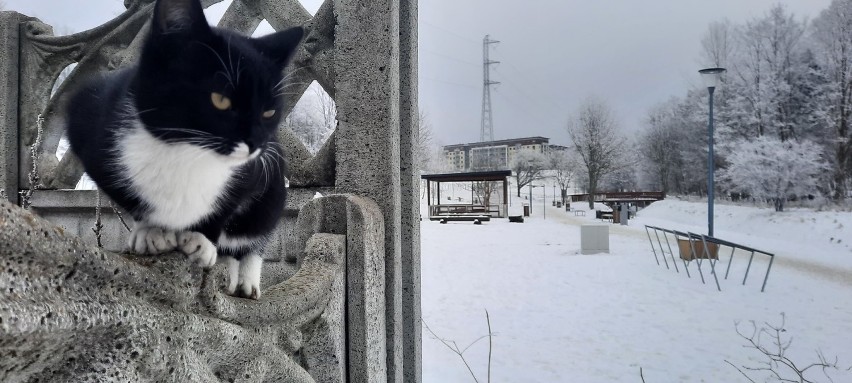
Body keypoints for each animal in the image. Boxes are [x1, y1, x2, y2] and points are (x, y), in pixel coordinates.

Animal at [65, 0, 302, 300]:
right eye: (220, 100)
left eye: (269, 112)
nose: (254, 144)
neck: (187, 152)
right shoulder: (89, 127)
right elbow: (130, 199)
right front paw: (150, 230)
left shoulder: (255, 171)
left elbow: (227, 209)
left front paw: (202, 240)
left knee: (255, 229)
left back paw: (245, 279)